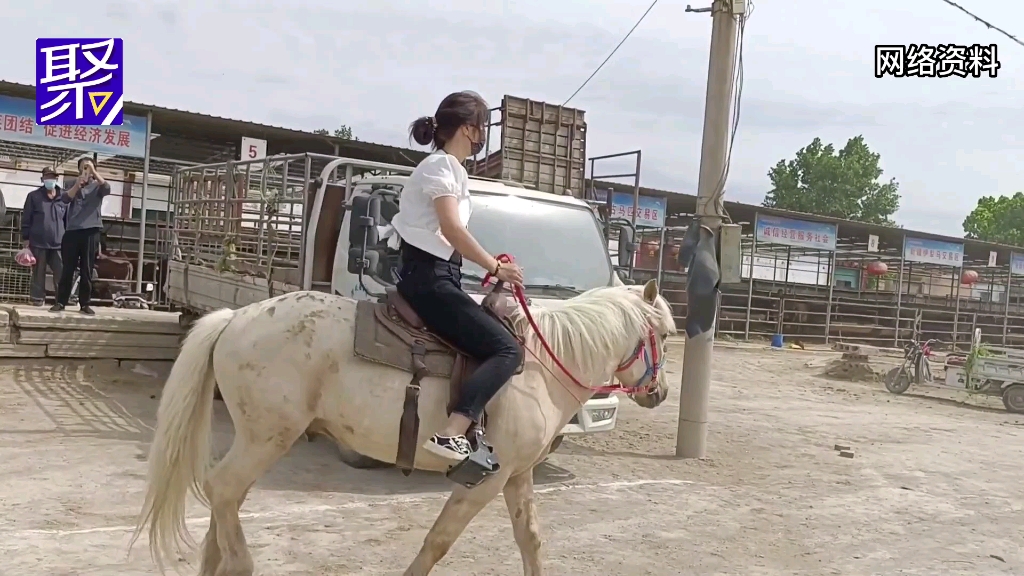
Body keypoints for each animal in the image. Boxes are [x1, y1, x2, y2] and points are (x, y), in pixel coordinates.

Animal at [132, 276, 675, 569]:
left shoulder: (517, 476)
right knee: (223, 490)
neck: (540, 366)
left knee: (226, 498)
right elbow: (438, 541)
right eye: (667, 334)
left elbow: (531, 542)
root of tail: (235, 318)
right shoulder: (487, 479)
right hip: (267, 437)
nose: (661, 392)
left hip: (256, 439)